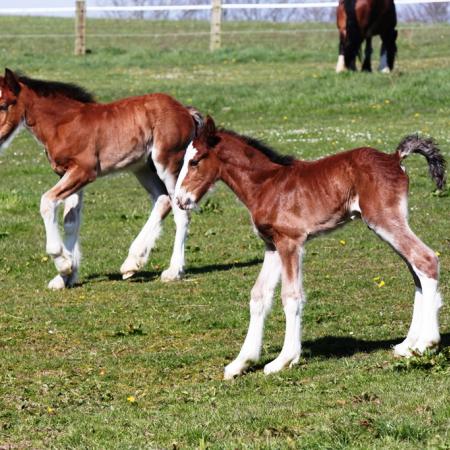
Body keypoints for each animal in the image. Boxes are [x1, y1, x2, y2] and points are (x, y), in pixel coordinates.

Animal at [0, 68, 204, 290]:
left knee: (181, 211)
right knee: (163, 200)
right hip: (142, 167)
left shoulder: (84, 171)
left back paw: (173, 271)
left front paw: (62, 263)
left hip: (168, 164)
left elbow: (47, 201)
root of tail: (185, 110)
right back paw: (132, 263)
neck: (62, 123)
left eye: (3, 105)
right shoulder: (68, 174)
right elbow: (71, 221)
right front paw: (66, 276)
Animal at [174, 117, 444, 380]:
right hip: (388, 225)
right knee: (416, 272)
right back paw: (408, 345)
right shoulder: (272, 246)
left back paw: (426, 343)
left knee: (426, 259)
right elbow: (259, 295)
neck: (266, 185)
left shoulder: (290, 242)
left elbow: (291, 296)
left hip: (384, 221)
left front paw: (284, 359)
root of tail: (394, 157)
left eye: (195, 161)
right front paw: (241, 363)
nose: (179, 200)